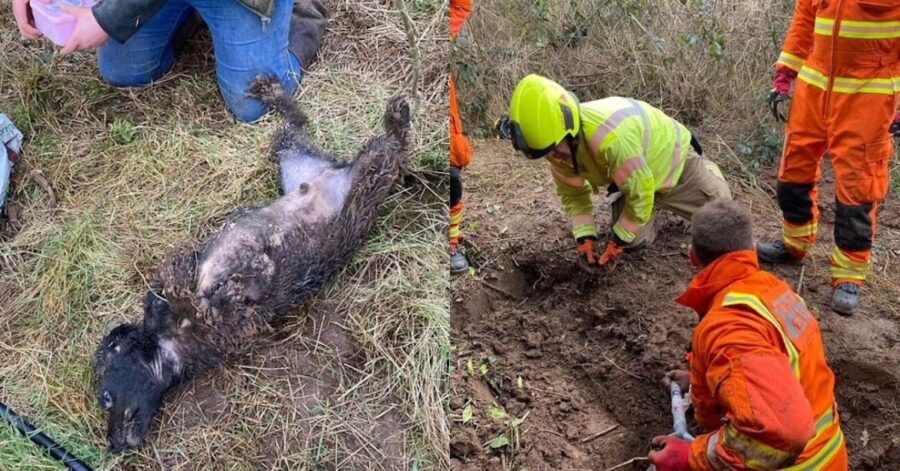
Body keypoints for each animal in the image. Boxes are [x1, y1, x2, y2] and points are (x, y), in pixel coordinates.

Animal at [92, 78, 412, 454]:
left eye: (105, 397)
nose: (112, 445)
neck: (170, 339)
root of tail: (337, 170)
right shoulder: (238, 325)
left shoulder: (220, 306)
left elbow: (185, 283)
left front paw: (189, 286)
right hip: (289, 152)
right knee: (298, 121)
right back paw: (273, 92)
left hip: (370, 175)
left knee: (396, 147)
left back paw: (395, 117)